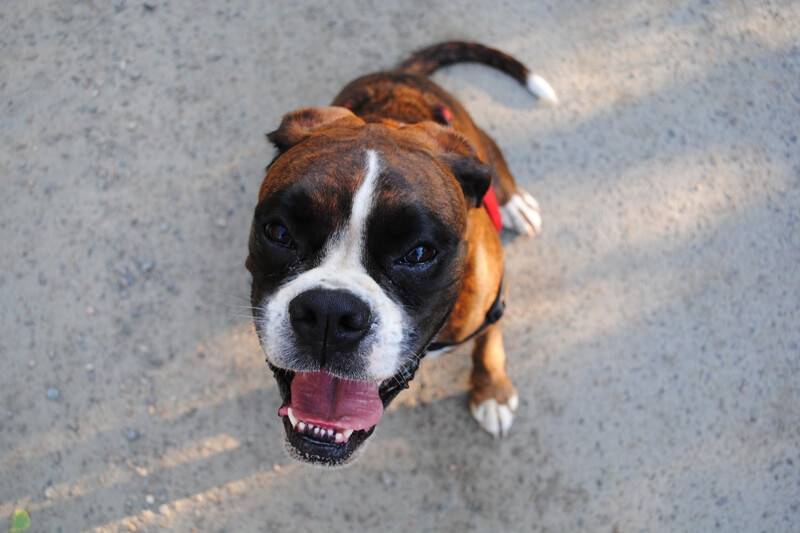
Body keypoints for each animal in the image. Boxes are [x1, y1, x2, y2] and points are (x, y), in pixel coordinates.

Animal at [245, 42, 556, 466]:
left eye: (419, 253)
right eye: (279, 233)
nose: (329, 313)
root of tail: (401, 73)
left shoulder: (493, 301)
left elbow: (488, 344)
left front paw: (491, 391)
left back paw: (512, 203)